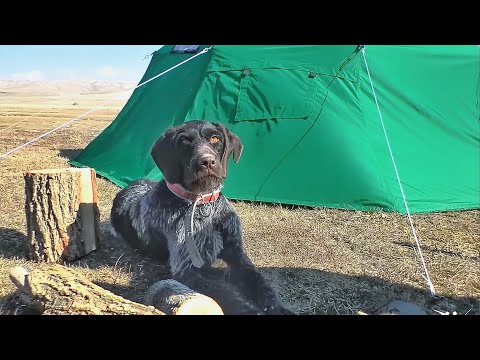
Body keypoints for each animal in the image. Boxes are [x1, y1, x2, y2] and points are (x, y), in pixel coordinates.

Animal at [109, 119, 288, 314]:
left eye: (216, 138)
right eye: (184, 141)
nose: (207, 162)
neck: (204, 204)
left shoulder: (237, 254)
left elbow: (262, 286)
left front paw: (279, 308)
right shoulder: (187, 270)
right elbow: (227, 294)